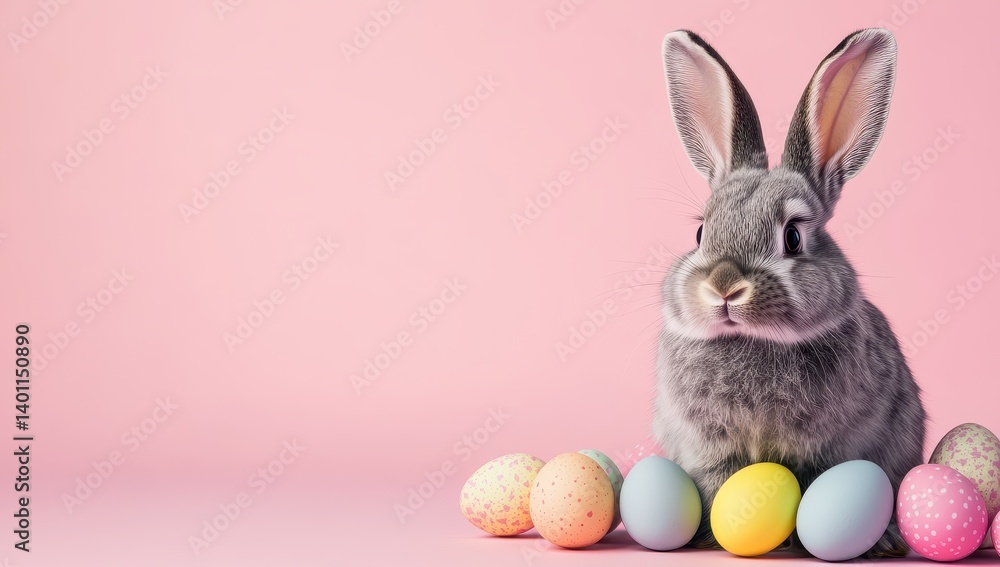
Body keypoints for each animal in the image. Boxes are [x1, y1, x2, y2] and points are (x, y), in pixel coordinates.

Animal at [652, 28, 926, 558]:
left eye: (793, 237)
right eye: (700, 233)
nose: (724, 287)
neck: (751, 342)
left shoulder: (823, 450)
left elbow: (812, 485)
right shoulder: (709, 447)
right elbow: (718, 484)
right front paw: (707, 534)